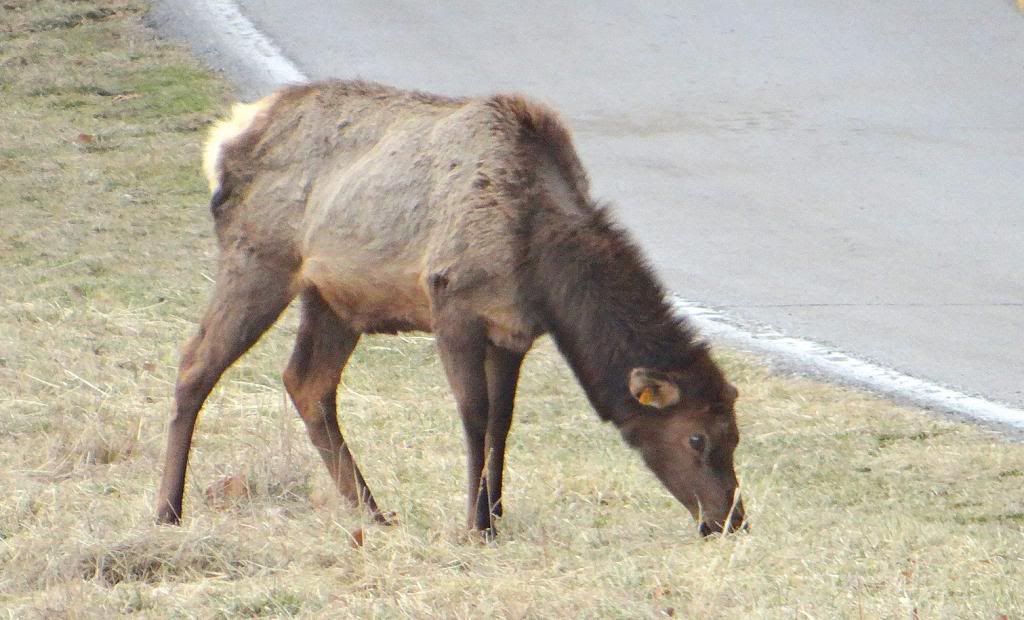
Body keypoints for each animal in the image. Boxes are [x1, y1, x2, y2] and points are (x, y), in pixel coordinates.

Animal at [153, 79, 745, 536]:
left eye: (735, 435)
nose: (731, 520)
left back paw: (373, 512)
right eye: (697, 438)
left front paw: (497, 515)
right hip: (259, 261)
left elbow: (502, 421)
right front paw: (475, 523)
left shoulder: (512, 331)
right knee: (195, 362)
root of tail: (224, 140)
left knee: (307, 383)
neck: (543, 267)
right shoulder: (452, 302)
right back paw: (168, 510)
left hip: (332, 300)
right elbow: (474, 415)